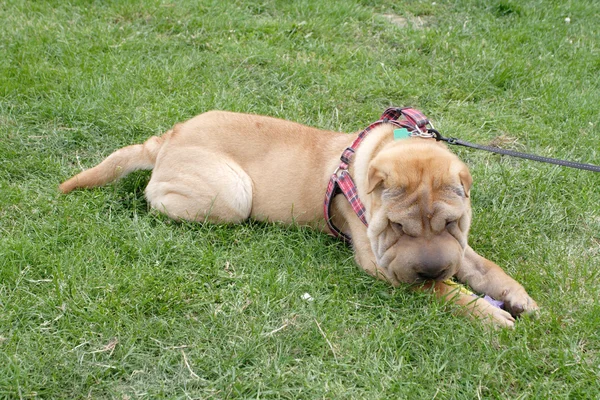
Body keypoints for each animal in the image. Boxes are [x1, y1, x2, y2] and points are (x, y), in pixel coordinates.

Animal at [59, 109, 540, 328]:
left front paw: (517, 297)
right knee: (158, 197)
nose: (430, 268)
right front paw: (485, 312)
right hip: (232, 195)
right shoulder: (380, 265)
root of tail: (166, 137)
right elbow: (443, 291)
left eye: (452, 224)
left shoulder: (459, 250)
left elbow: (484, 267)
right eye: (398, 227)